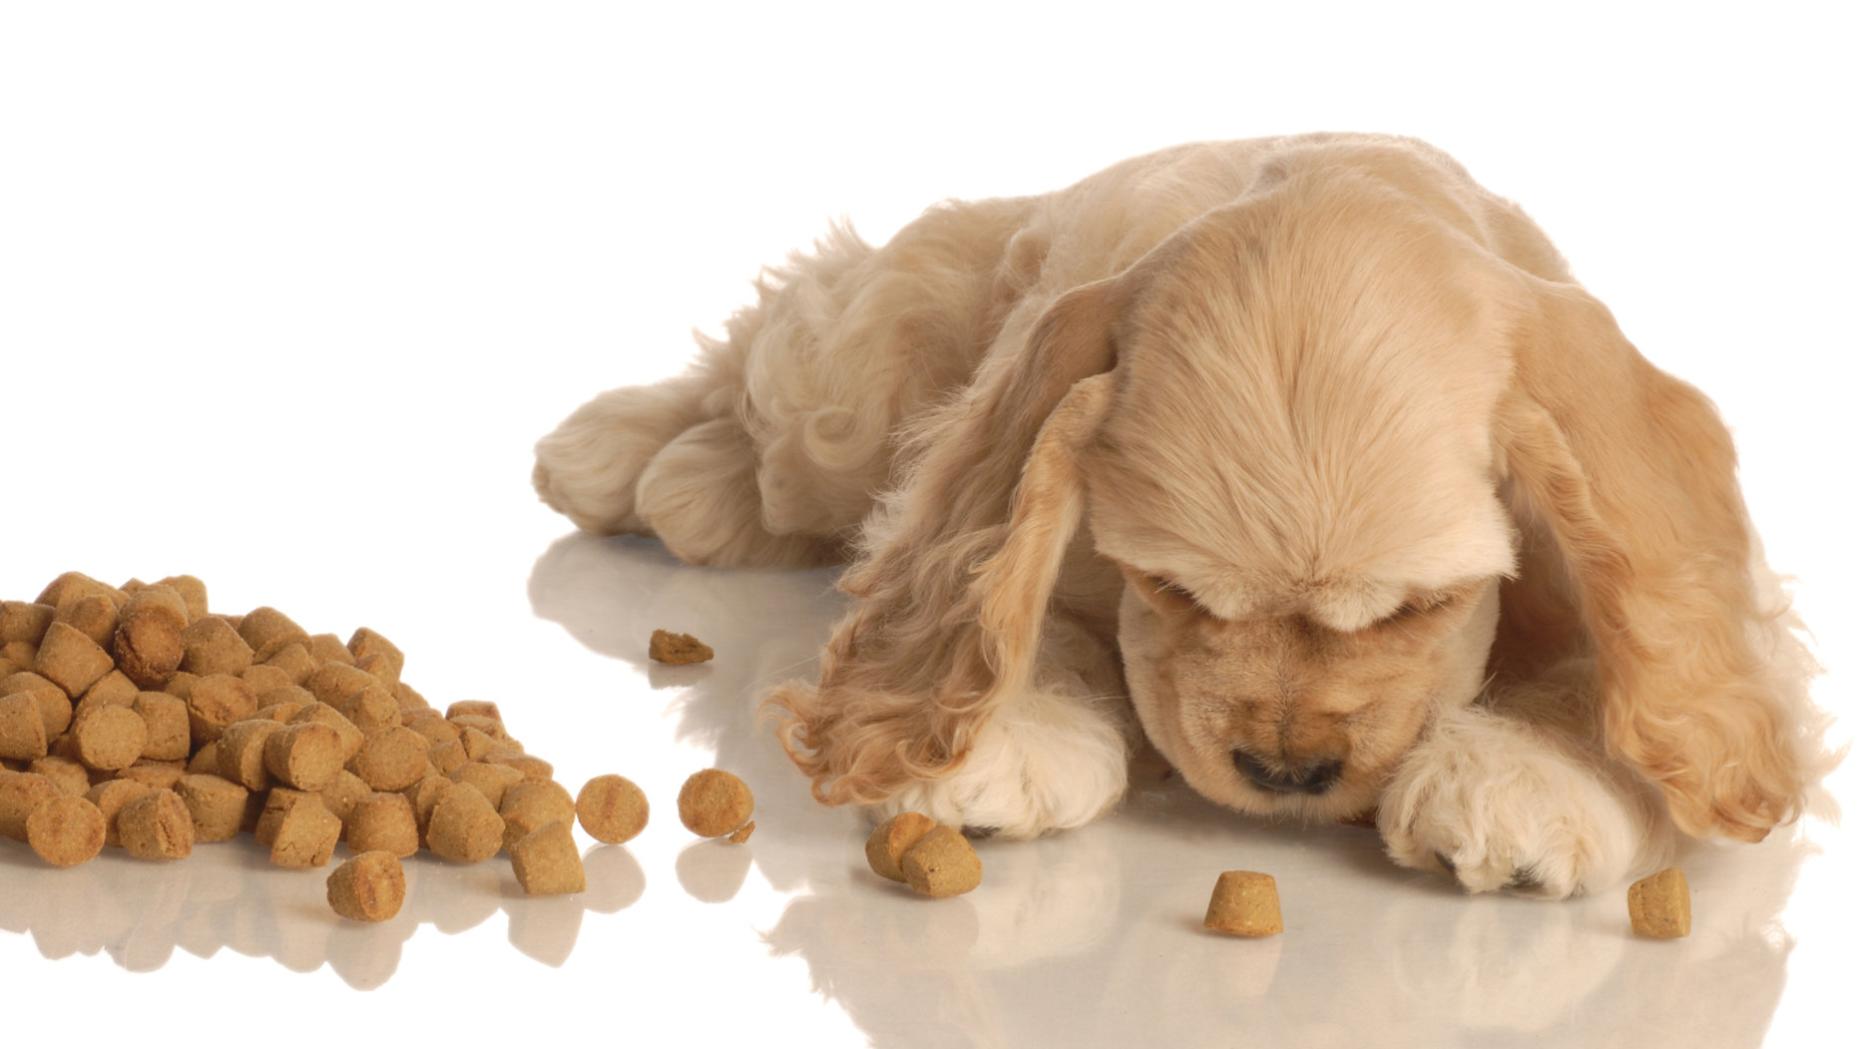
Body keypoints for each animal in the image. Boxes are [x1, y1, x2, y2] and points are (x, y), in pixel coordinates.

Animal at [533, 133, 1829, 896]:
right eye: (1170, 589)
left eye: (1421, 606)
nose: (1287, 768)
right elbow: (991, 592)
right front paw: (1007, 732)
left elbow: (1640, 664)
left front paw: (1523, 775)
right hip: (852, 381)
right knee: (773, 368)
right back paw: (624, 455)